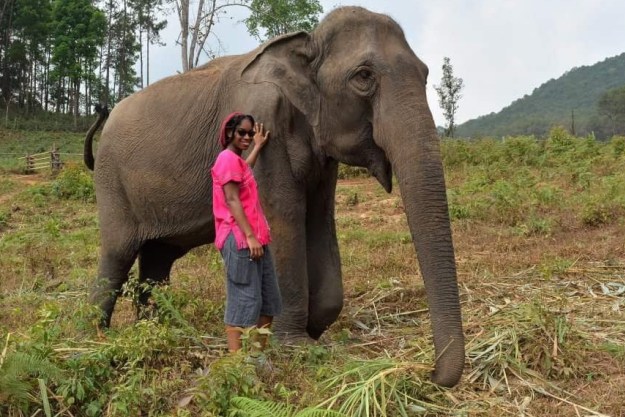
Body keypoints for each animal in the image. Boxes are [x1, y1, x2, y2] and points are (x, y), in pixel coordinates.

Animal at [83, 5, 464, 386]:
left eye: (425, 74)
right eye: (363, 76)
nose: (430, 374)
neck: (305, 43)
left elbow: (318, 219)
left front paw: (309, 331)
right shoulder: (265, 128)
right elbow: (284, 216)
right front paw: (297, 346)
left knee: (157, 259)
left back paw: (157, 333)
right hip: (111, 183)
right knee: (117, 254)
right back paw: (97, 339)